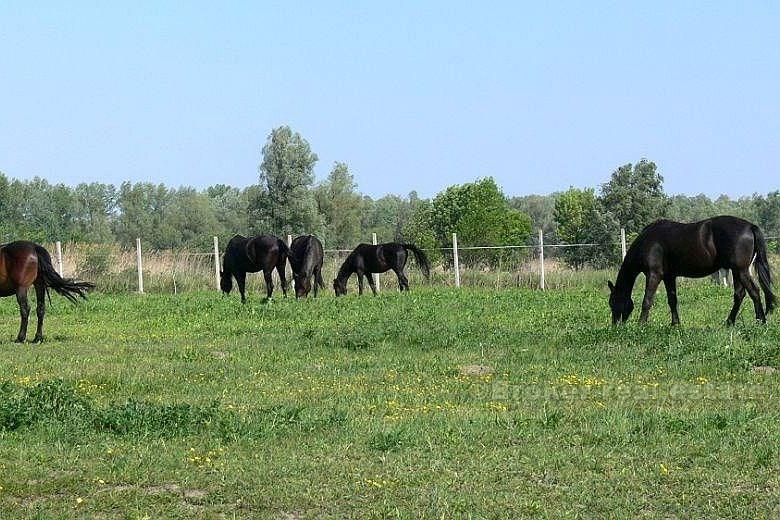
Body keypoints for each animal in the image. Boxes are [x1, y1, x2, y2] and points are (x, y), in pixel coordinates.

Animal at [608, 216, 775, 325]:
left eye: (613, 302)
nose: (616, 326)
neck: (648, 242)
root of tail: (750, 226)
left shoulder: (654, 274)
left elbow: (647, 300)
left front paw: (641, 325)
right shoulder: (669, 277)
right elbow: (672, 300)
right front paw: (675, 324)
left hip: (741, 271)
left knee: (754, 292)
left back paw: (761, 321)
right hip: (737, 271)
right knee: (739, 295)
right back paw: (729, 322)